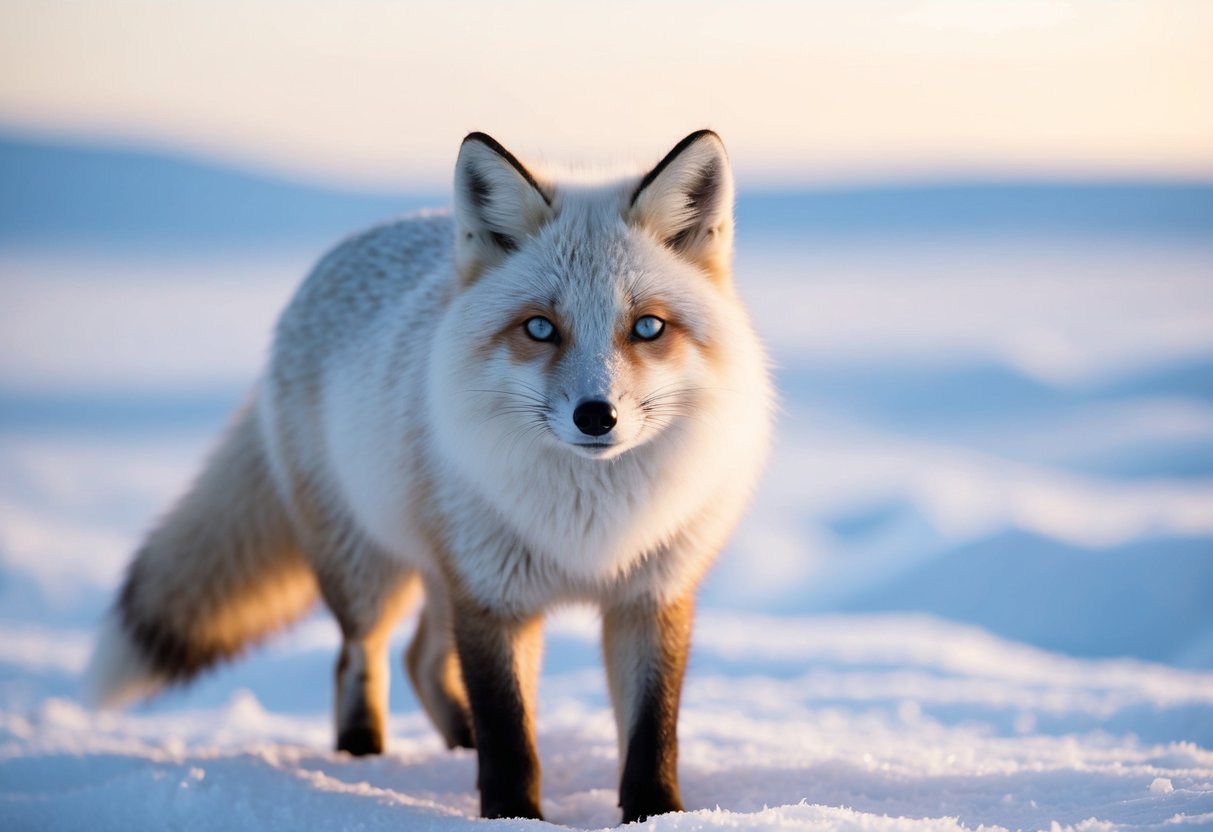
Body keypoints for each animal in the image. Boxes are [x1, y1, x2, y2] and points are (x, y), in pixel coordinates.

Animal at [85, 129, 773, 823]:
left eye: (648, 327)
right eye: (540, 327)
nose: (596, 415)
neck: (588, 525)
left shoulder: (651, 595)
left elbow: (651, 733)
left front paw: (655, 816)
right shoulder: (493, 600)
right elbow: (509, 732)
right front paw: (513, 816)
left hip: (444, 577)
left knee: (421, 660)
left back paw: (457, 746)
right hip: (373, 572)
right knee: (360, 659)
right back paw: (365, 758)